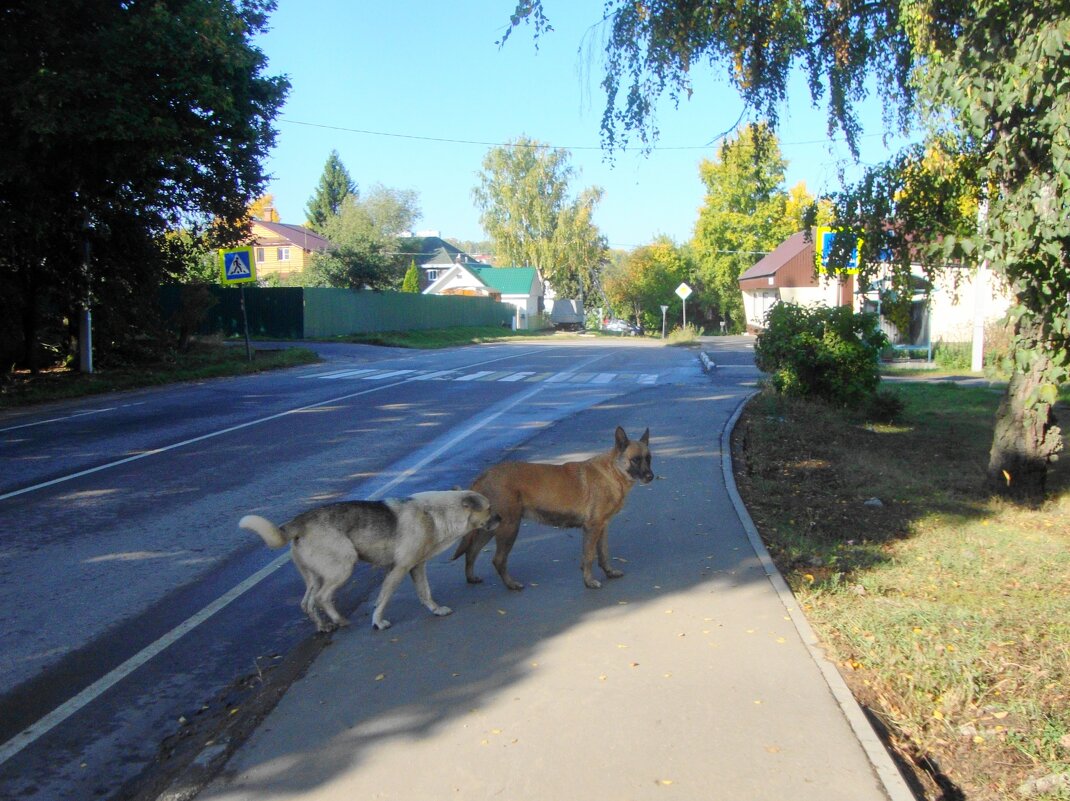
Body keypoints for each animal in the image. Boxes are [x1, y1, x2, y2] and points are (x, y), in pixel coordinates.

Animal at [451, 425, 650, 586]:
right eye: (636, 459)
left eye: (649, 458)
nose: (651, 476)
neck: (613, 471)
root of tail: (484, 475)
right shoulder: (592, 528)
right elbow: (589, 557)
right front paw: (589, 581)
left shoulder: (602, 527)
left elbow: (603, 554)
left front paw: (609, 572)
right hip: (509, 527)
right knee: (498, 560)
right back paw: (511, 584)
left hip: (490, 529)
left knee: (471, 552)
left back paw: (471, 578)